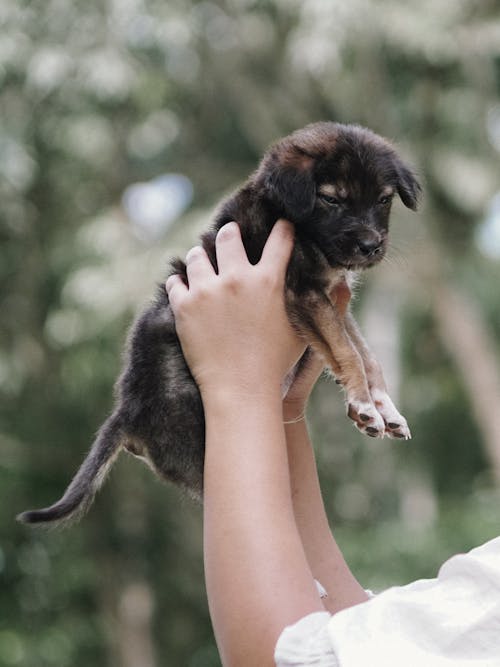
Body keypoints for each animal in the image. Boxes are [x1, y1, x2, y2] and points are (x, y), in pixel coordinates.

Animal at [17, 121, 420, 528]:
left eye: (383, 200)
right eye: (331, 200)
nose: (371, 246)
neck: (292, 219)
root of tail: (126, 413)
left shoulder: (330, 297)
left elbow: (365, 354)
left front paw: (383, 407)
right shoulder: (304, 292)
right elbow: (347, 349)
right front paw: (364, 403)